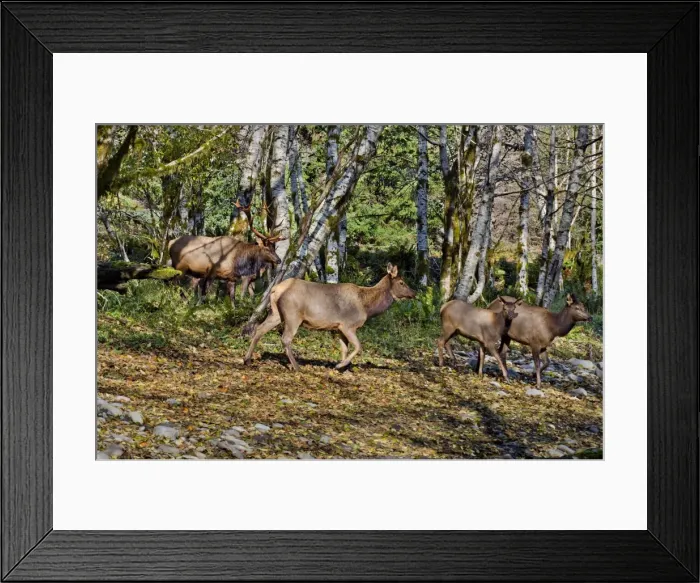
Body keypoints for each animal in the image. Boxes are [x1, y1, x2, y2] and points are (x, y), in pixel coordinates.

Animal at [244, 263, 416, 371]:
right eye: (402, 282)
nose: (414, 293)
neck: (367, 307)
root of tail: (276, 289)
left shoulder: (338, 328)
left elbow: (344, 348)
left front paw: (343, 368)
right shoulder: (348, 325)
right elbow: (358, 346)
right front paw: (340, 366)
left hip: (276, 313)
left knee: (259, 329)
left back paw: (247, 359)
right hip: (293, 315)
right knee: (285, 338)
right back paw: (297, 366)